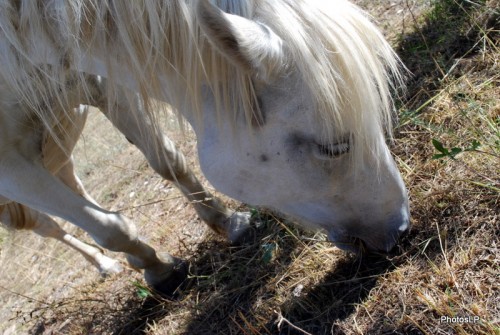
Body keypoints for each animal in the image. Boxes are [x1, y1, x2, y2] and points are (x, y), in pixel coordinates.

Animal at [0, 0, 408, 294]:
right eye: (334, 147)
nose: (400, 227)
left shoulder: (100, 84)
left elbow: (169, 162)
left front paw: (228, 223)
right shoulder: (13, 171)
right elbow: (109, 227)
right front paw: (160, 269)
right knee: (51, 226)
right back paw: (109, 264)